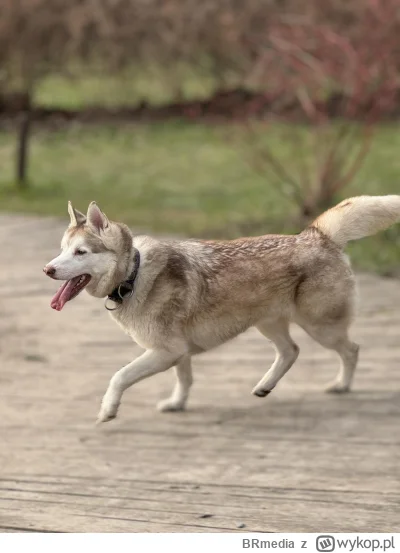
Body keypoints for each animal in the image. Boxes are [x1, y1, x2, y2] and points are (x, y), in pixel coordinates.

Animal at [43, 196, 400, 420]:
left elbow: (119, 376)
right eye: (61, 250)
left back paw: (341, 386)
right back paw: (265, 386)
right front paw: (176, 404)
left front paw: (108, 410)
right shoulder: (178, 352)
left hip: (321, 327)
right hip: (268, 324)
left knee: (351, 349)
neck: (134, 273)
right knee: (291, 351)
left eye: (80, 252)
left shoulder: (165, 351)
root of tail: (316, 235)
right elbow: (184, 381)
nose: (47, 269)